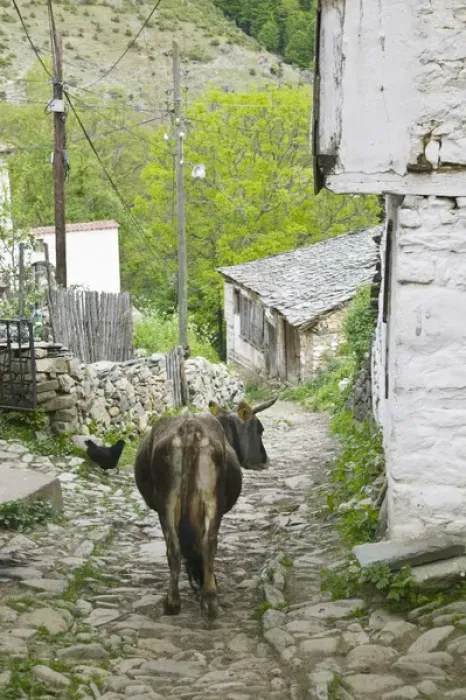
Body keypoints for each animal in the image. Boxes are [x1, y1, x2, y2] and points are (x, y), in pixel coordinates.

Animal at [134, 411, 242, 622]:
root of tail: (190, 426)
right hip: (207, 500)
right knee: (206, 545)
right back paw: (207, 601)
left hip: (167, 502)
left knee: (175, 548)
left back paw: (174, 603)